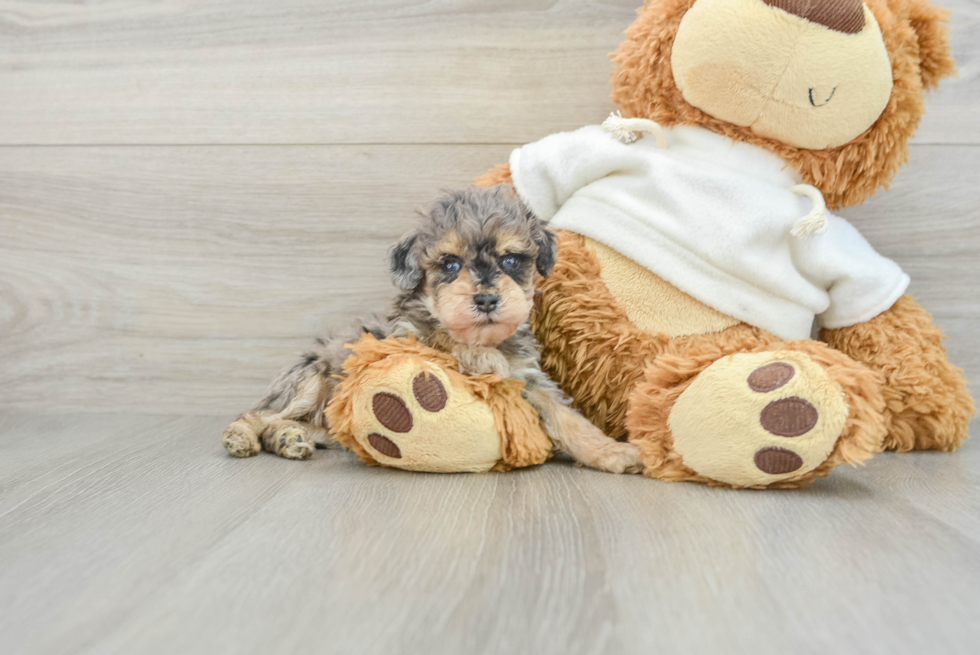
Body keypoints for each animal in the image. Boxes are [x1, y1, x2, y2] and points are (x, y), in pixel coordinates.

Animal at [222, 187, 644, 474]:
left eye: (511, 260)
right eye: (450, 264)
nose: (486, 299)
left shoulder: (529, 381)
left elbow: (569, 420)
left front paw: (612, 452)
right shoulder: (409, 343)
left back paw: (291, 439)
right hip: (310, 380)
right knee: (259, 414)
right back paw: (244, 437)